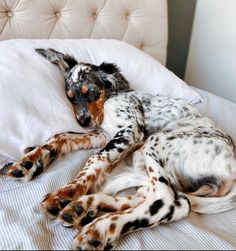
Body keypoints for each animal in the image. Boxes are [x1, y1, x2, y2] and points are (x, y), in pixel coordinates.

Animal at [0, 48, 235, 250]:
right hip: (142, 157)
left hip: (154, 142)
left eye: (90, 91)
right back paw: (86, 208)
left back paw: (101, 228)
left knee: (171, 202)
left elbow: (95, 159)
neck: (110, 99)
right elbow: (60, 136)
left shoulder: (129, 131)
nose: (83, 121)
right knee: (146, 195)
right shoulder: (101, 134)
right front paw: (28, 161)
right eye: (71, 97)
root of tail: (231, 170)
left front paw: (65, 193)